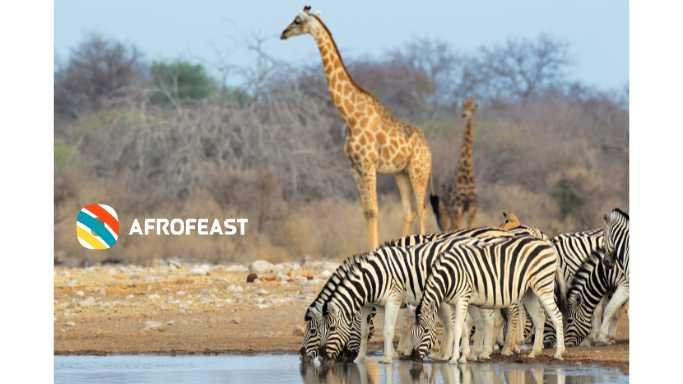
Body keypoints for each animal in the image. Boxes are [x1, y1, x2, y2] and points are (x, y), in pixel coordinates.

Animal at [282, 8, 432, 252]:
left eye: (297, 20)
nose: (283, 33)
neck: (350, 116)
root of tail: (428, 148)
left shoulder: (368, 164)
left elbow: (373, 211)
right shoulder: (354, 167)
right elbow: (366, 211)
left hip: (419, 170)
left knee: (422, 208)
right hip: (401, 173)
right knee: (409, 211)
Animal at [412, 234, 568, 364]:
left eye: (426, 330)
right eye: (412, 332)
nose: (413, 357)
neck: (449, 276)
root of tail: (547, 243)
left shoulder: (462, 298)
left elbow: (458, 327)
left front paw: (455, 358)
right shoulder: (462, 302)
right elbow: (464, 327)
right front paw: (464, 356)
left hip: (543, 287)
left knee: (557, 316)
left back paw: (559, 353)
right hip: (530, 292)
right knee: (539, 318)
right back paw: (533, 353)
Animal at [430, 99, 478, 231]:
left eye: (472, 108)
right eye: (463, 106)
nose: (463, 115)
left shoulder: (471, 207)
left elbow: (470, 226)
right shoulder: (457, 206)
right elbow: (457, 227)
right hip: (447, 208)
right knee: (448, 226)